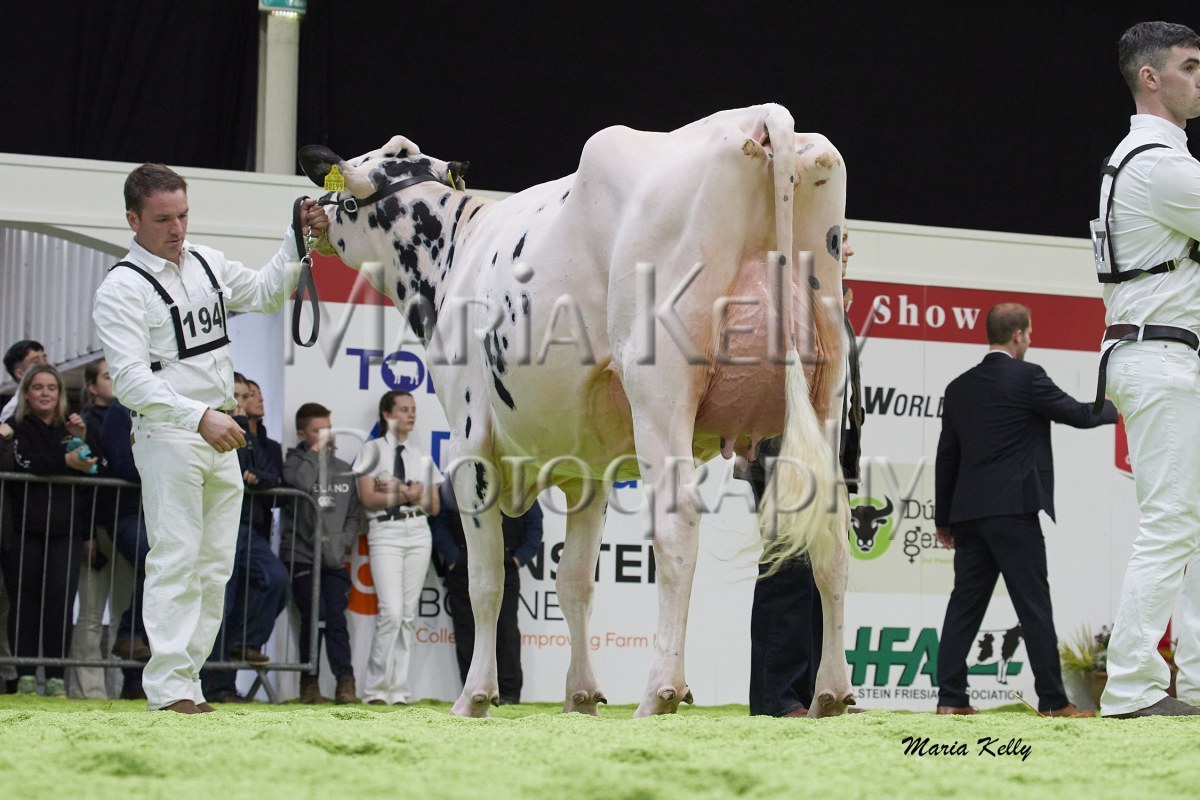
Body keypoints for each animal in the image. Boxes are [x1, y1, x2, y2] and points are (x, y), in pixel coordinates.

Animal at [298, 103, 853, 718]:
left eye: (344, 197)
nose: (308, 211)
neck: (456, 254)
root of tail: (758, 117)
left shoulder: (470, 444)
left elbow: (486, 581)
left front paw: (474, 697)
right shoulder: (589, 466)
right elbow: (574, 582)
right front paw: (581, 696)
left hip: (660, 389)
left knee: (678, 527)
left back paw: (660, 690)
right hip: (825, 391)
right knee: (833, 535)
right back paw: (831, 693)